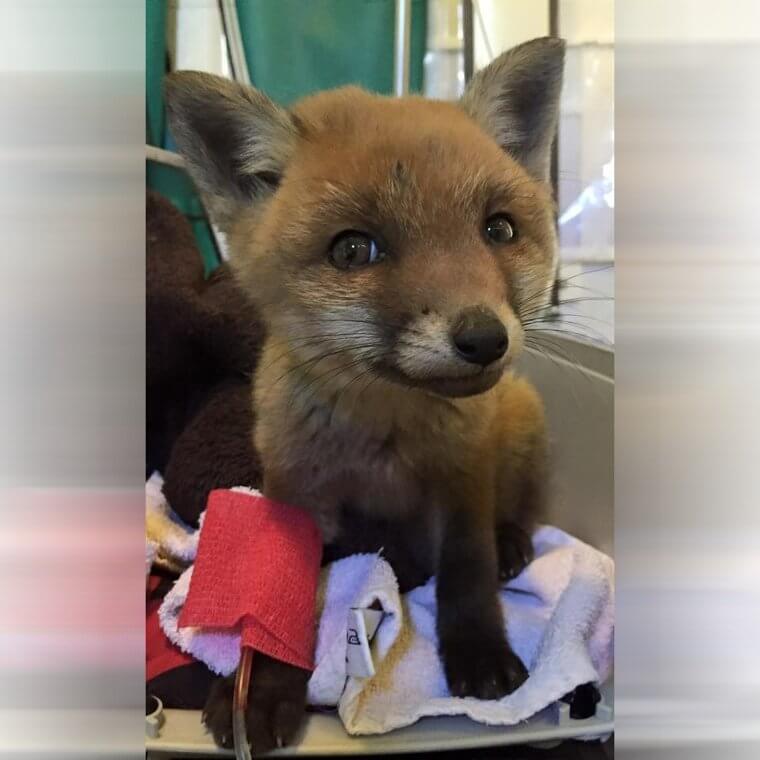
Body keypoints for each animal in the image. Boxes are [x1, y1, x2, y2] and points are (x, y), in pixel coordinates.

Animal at [164, 36, 564, 752]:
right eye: (353, 249)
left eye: (498, 230)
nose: (484, 338)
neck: (386, 439)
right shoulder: (296, 496)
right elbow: (278, 603)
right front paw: (259, 688)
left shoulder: (463, 482)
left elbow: (468, 575)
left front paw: (480, 655)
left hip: (522, 419)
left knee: (516, 514)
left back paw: (512, 544)